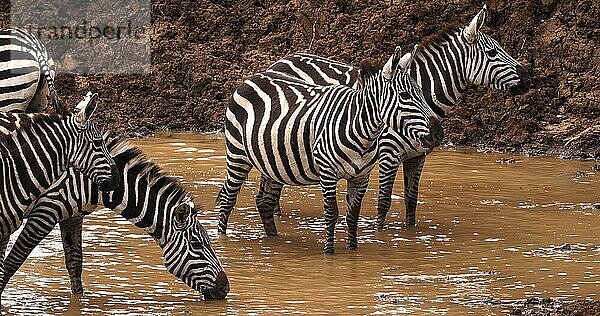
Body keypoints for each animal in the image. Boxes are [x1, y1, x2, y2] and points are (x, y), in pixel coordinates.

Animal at [1, 137, 231, 300]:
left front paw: (79, 302)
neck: (89, 182)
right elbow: (12, 262)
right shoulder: (46, 209)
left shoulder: (72, 216)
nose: (226, 288)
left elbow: (75, 264)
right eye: (196, 244)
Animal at [216, 46, 440, 254]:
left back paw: (274, 240)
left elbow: (352, 215)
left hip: (271, 162)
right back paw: (221, 239)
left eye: (422, 92)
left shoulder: (361, 177)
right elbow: (331, 213)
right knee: (228, 198)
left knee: (265, 202)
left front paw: (352, 250)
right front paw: (329, 253)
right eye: (405, 95)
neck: (361, 129)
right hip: (237, 154)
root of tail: (250, 77)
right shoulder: (327, 172)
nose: (438, 132)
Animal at [262, 4, 528, 230]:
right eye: (492, 52)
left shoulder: (417, 158)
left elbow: (411, 202)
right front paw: (380, 237)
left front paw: (410, 238)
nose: (528, 79)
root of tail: (278, 61)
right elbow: (384, 202)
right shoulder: (389, 154)